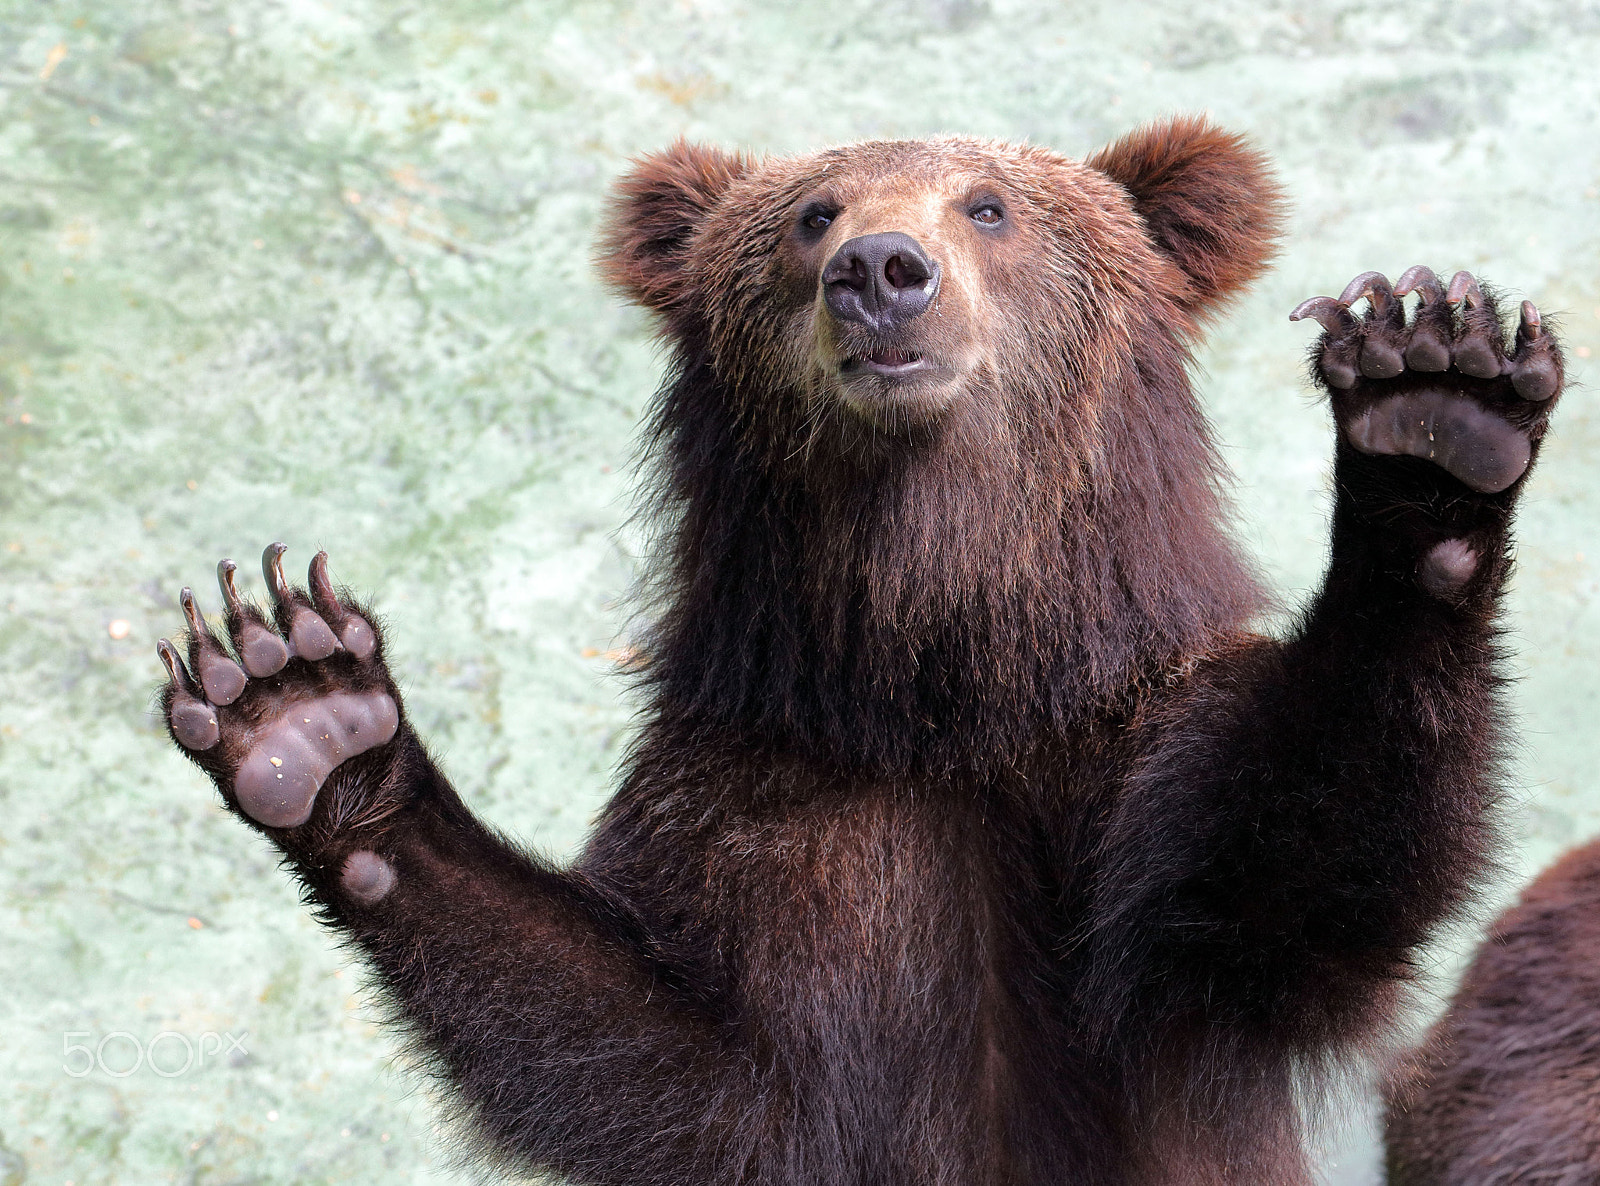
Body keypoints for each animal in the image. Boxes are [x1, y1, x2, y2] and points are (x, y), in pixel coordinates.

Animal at [154, 116, 1565, 1184]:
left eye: (988, 206)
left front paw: (1430, 411)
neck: (935, 680)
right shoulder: (777, 802)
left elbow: (1311, 864)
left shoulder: (1123, 774)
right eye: (811, 212)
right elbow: (670, 1059)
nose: (881, 267)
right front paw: (308, 717)